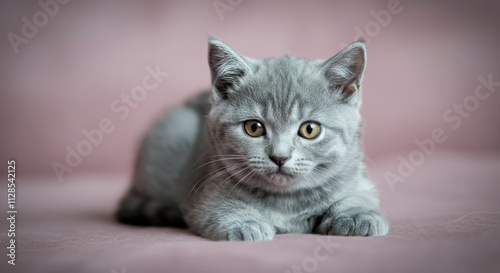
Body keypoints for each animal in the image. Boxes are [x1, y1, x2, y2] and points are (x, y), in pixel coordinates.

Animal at [115, 36, 388, 240]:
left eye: (310, 129)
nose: (280, 157)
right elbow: (221, 207)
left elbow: (358, 195)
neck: (287, 202)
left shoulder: (357, 178)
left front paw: (357, 216)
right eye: (254, 128)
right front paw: (244, 223)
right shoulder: (206, 196)